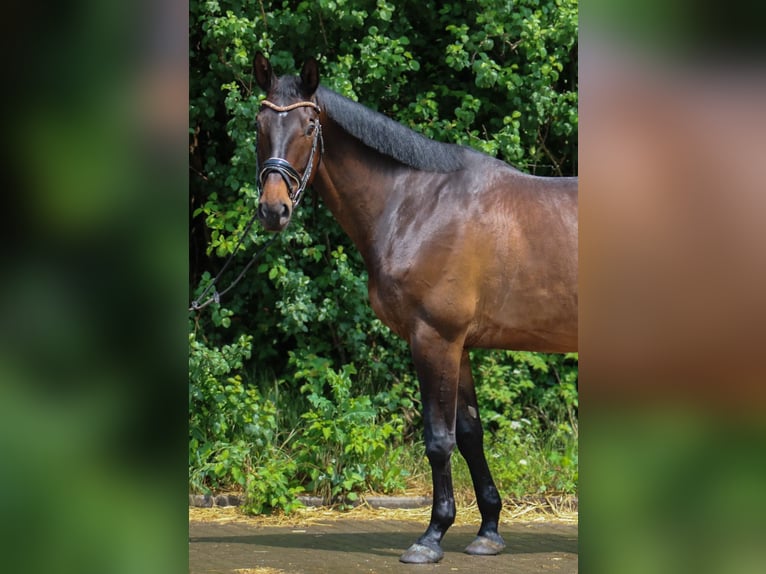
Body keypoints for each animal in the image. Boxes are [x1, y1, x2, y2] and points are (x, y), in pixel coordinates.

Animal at [252, 52, 578, 564]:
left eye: (308, 125)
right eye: (259, 124)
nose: (272, 210)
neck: (418, 203)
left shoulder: (434, 339)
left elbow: (439, 440)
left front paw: (432, 536)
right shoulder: (458, 346)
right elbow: (470, 434)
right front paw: (488, 531)